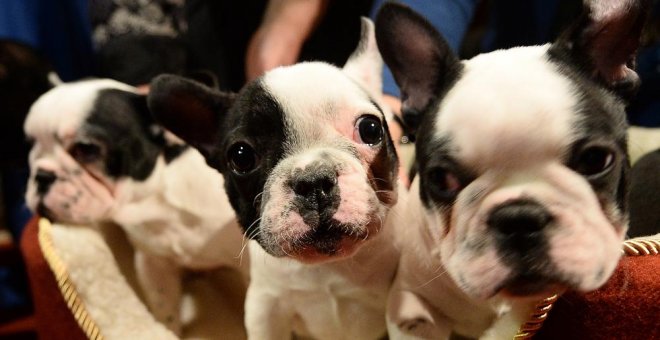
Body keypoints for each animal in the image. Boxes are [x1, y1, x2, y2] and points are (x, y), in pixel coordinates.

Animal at [24, 78, 248, 334]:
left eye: (86, 149)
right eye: (31, 148)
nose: (41, 175)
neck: (160, 204)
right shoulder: (153, 265)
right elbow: (165, 309)